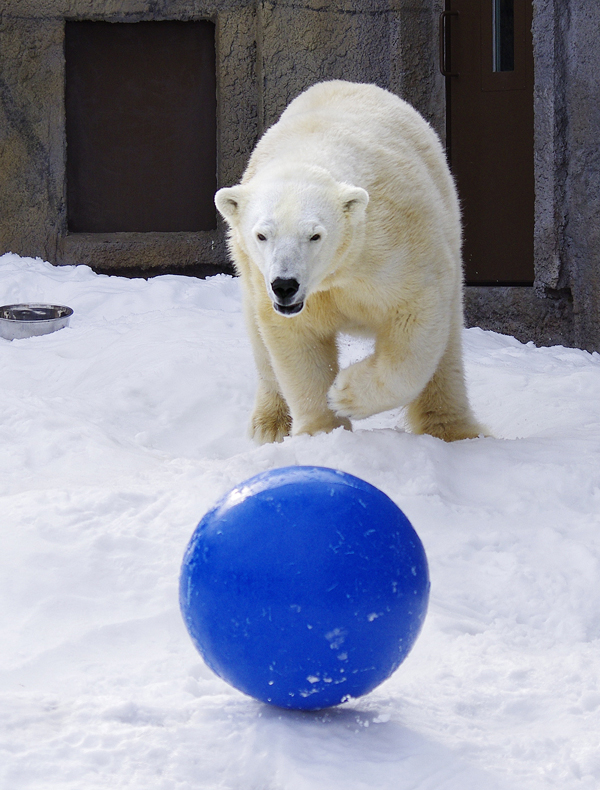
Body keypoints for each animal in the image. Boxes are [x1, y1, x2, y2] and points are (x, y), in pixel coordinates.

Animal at [216, 84, 482, 448]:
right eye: (261, 234)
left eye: (315, 235)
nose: (285, 285)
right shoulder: (280, 288)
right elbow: (298, 343)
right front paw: (322, 432)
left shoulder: (396, 245)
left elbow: (414, 320)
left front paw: (345, 394)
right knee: (261, 343)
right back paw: (270, 424)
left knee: (446, 350)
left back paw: (454, 431)